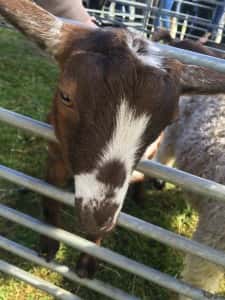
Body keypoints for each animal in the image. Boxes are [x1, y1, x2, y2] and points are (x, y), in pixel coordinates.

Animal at [1, 1, 225, 280]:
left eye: (170, 119)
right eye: (66, 96)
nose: (97, 218)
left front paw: (87, 263)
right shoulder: (54, 155)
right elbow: (49, 201)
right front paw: (48, 247)